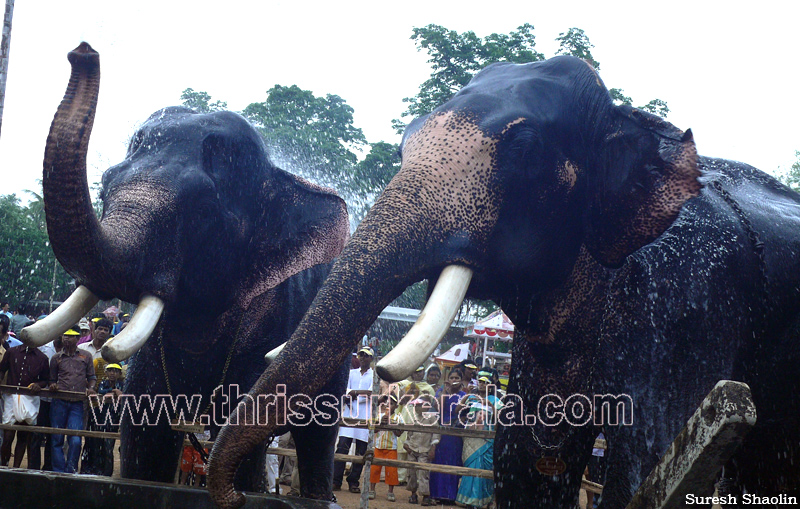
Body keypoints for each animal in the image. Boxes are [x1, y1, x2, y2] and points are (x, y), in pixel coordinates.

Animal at [18, 42, 348, 496]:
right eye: (104, 187)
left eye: (203, 213)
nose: (83, 52)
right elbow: (145, 435)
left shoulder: (269, 320)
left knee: (317, 434)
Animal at [209, 53, 800, 506]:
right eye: (402, 148)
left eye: (524, 150)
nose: (237, 495)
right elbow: (528, 458)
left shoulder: (686, 298)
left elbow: (652, 455)